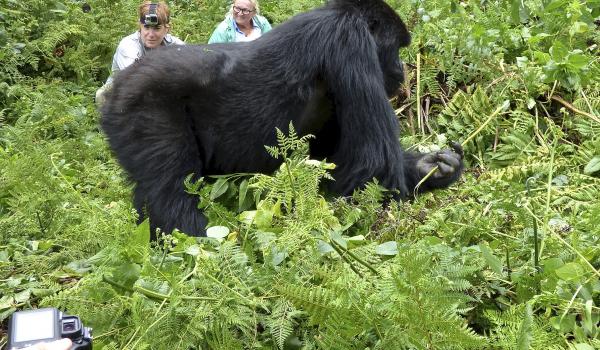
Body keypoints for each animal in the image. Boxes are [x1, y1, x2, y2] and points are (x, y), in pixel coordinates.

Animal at [101, 0, 464, 238]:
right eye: (396, 48)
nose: (401, 71)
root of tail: (113, 89)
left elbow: (334, 161)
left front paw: (434, 166)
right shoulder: (349, 41)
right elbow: (373, 166)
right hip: (142, 104)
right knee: (172, 196)